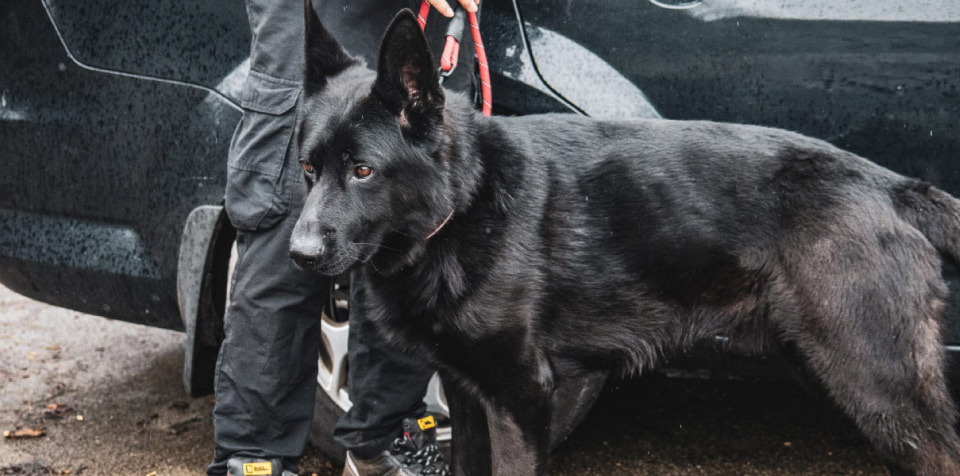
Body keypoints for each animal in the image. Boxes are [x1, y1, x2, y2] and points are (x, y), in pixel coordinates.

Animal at [288, 4, 960, 476]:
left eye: (363, 170)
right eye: (308, 169)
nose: (299, 255)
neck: (464, 205)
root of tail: (890, 184)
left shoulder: (519, 398)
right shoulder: (471, 397)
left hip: (876, 386)